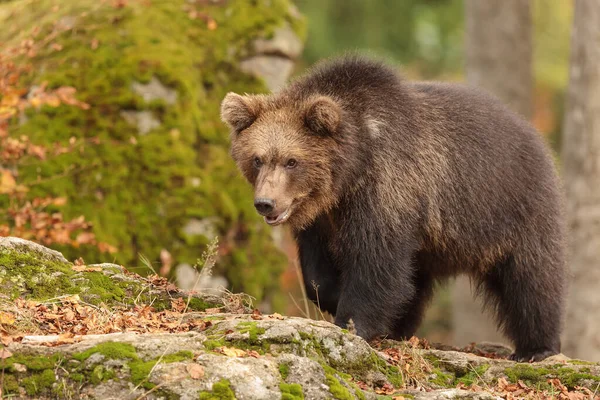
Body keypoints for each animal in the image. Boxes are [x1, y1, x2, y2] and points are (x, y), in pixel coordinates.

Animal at [221, 54, 568, 362]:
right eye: (257, 159)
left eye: (292, 161)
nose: (265, 203)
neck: (350, 172)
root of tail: (534, 134)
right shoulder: (322, 218)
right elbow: (318, 271)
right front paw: (334, 295)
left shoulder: (389, 188)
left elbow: (376, 262)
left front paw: (352, 322)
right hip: (435, 242)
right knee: (417, 279)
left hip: (512, 208)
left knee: (530, 278)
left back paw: (536, 348)